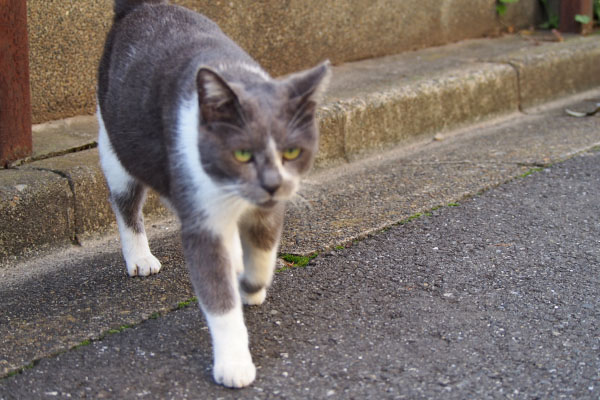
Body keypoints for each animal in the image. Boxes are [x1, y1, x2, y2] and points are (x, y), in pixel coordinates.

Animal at [99, 0, 332, 390]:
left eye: (291, 152)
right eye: (242, 154)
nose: (272, 184)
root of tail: (144, 6)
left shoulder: (269, 210)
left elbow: (263, 258)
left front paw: (249, 286)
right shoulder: (201, 221)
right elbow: (218, 296)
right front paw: (234, 364)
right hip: (116, 145)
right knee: (126, 203)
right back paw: (140, 257)